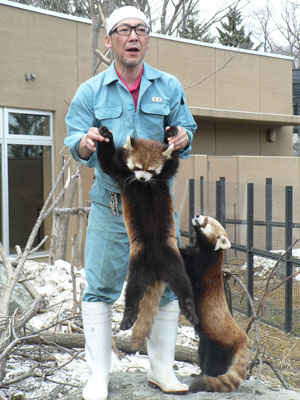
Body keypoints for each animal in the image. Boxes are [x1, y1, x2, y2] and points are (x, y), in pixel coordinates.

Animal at [97, 126, 198, 348]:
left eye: (151, 170)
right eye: (137, 167)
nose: (142, 179)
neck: (144, 185)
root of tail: (156, 267)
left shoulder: (164, 176)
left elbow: (174, 161)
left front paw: (174, 134)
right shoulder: (121, 172)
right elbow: (105, 160)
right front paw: (105, 134)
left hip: (173, 259)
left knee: (183, 282)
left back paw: (188, 307)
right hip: (137, 263)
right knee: (133, 290)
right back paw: (128, 316)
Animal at [180, 214, 248, 392]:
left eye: (206, 221)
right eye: (205, 216)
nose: (197, 215)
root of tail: (242, 337)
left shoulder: (200, 264)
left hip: (218, 344)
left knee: (213, 364)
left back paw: (206, 376)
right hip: (205, 341)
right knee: (202, 353)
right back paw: (197, 373)